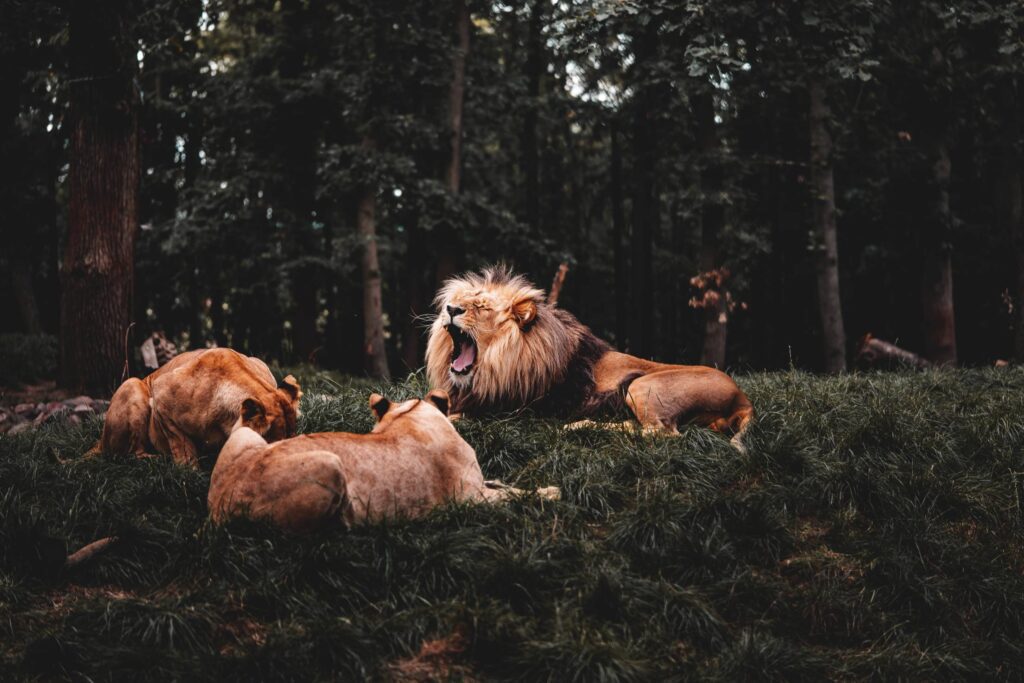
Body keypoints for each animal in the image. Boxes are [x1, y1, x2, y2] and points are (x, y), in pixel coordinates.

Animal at [88, 350, 299, 466]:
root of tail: (100, 441)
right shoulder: (161, 396)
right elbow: (183, 448)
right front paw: (189, 470)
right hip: (131, 384)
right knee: (130, 454)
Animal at [208, 389, 561, 532]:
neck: (409, 415)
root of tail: (219, 507)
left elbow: (506, 484)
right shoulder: (470, 500)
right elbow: (516, 495)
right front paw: (552, 492)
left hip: (245, 434)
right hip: (329, 463)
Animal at [421, 266, 753, 448]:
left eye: (482, 308)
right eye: (461, 300)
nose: (451, 309)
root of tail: (742, 397)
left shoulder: (512, 411)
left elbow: (456, 416)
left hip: (643, 386)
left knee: (664, 434)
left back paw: (579, 427)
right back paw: (584, 425)